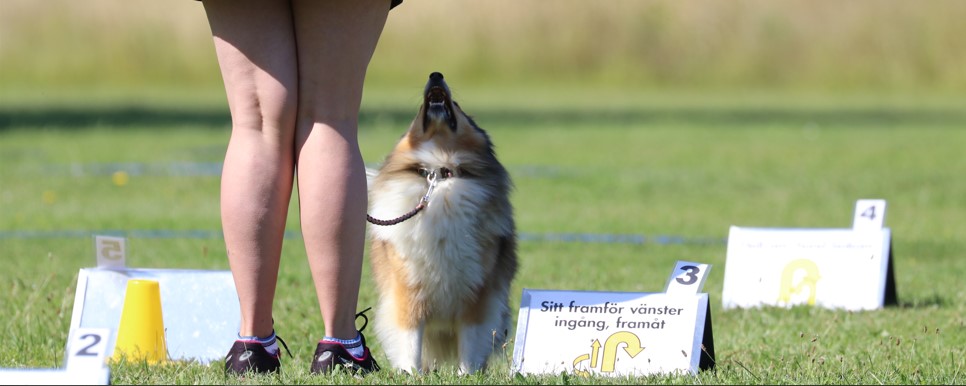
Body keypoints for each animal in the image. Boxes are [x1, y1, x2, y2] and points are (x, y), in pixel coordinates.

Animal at [366, 71, 520, 374]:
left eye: (457, 104)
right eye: (418, 110)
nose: (436, 75)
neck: (440, 171)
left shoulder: (477, 292)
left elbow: (470, 341)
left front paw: (467, 375)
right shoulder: (407, 289)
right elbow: (410, 339)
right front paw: (410, 374)